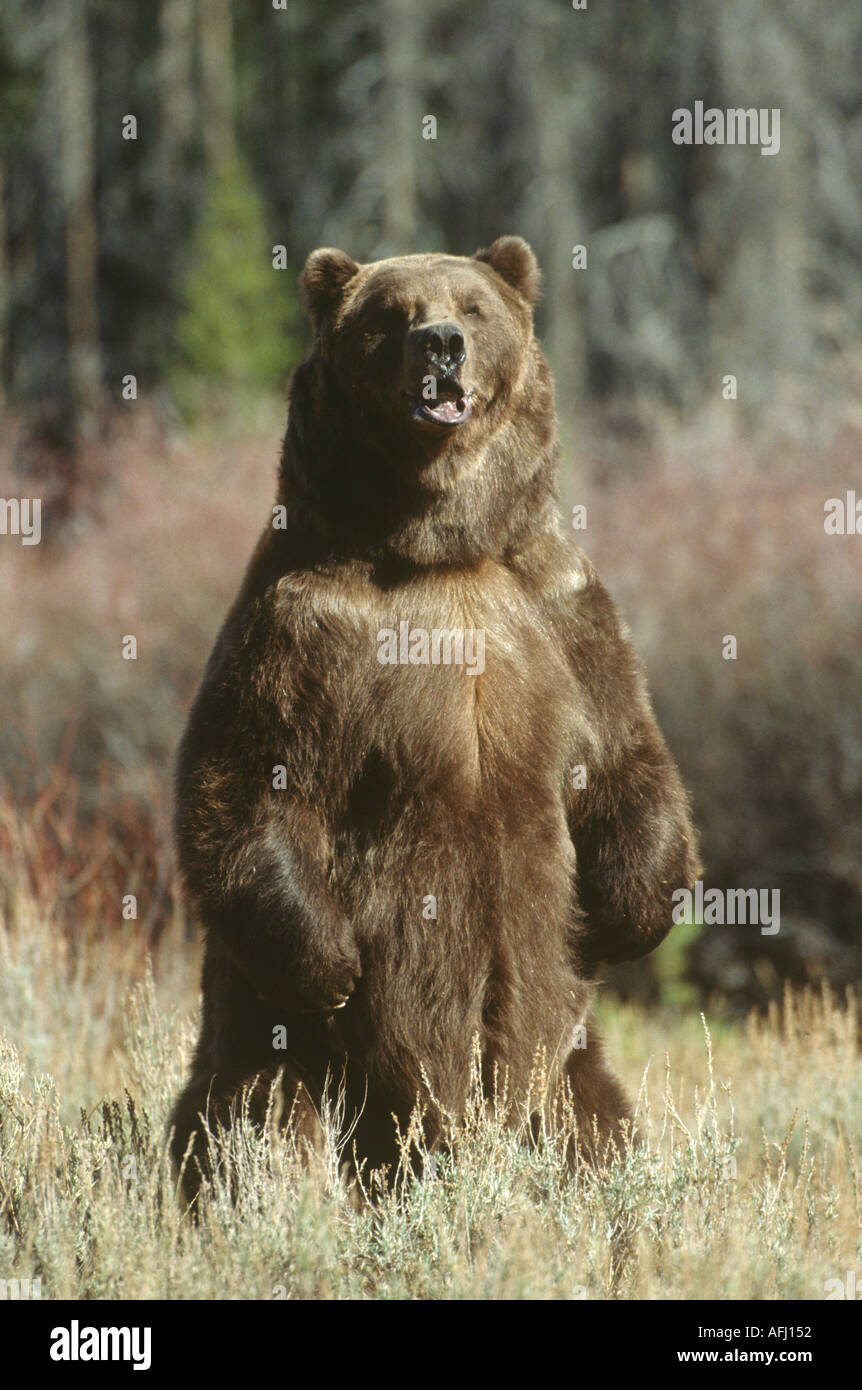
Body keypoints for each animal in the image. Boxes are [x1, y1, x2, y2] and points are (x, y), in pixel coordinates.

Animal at [170, 235, 700, 1203]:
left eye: (473, 306)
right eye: (390, 315)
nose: (442, 345)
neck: (436, 549)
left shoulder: (556, 606)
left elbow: (624, 754)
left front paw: (630, 910)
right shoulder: (304, 621)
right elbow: (248, 782)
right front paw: (334, 964)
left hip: (560, 1056)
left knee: (594, 1123)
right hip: (278, 1039)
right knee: (257, 1115)